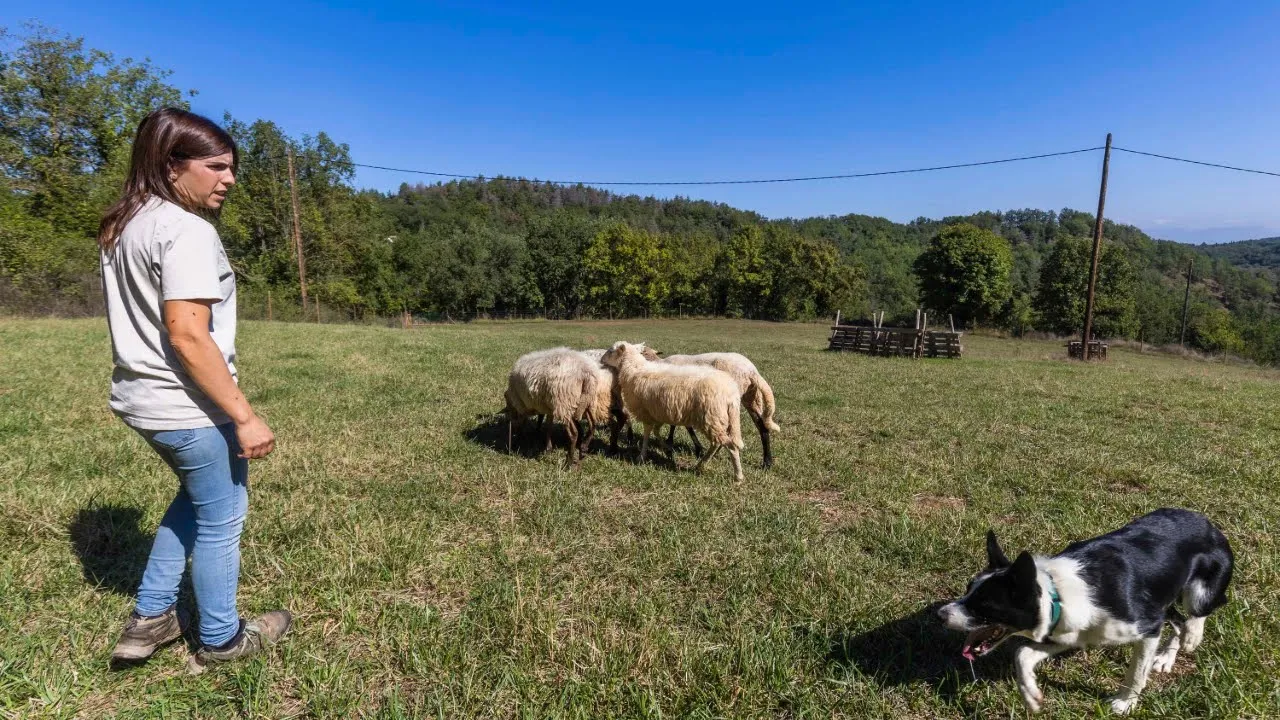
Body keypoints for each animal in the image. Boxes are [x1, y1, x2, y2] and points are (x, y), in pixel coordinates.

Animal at [601, 338, 747, 479]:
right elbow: (656, 432)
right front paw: (667, 450)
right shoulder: (658, 412)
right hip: (715, 420)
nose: (601, 360)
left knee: (729, 445)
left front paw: (641, 456)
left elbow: (647, 433)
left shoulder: (646, 412)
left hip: (712, 417)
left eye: (610, 351)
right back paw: (701, 464)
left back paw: (738, 476)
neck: (633, 369)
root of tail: (731, 393)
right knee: (717, 443)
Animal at [645, 345, 783, 468]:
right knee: (762, 426)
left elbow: (683, 426)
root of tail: (752, 371)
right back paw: (767, 462)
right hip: (751, 398)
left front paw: (678, 443)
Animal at [942, 507, 1228, 707]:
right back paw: (1168, 657)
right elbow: (1022, 653)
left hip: (1198, 592)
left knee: (1196, 613)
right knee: (1178, 620)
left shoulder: (1147, 627)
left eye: (984, 604)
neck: (1056, 595)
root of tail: (1210, 525)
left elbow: (1137, 671)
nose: (940, 614)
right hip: (1161, 600)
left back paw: (1193, 635)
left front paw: (1124, 703)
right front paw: (1031, 695)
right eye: (967, 590)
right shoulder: (1068, 635)